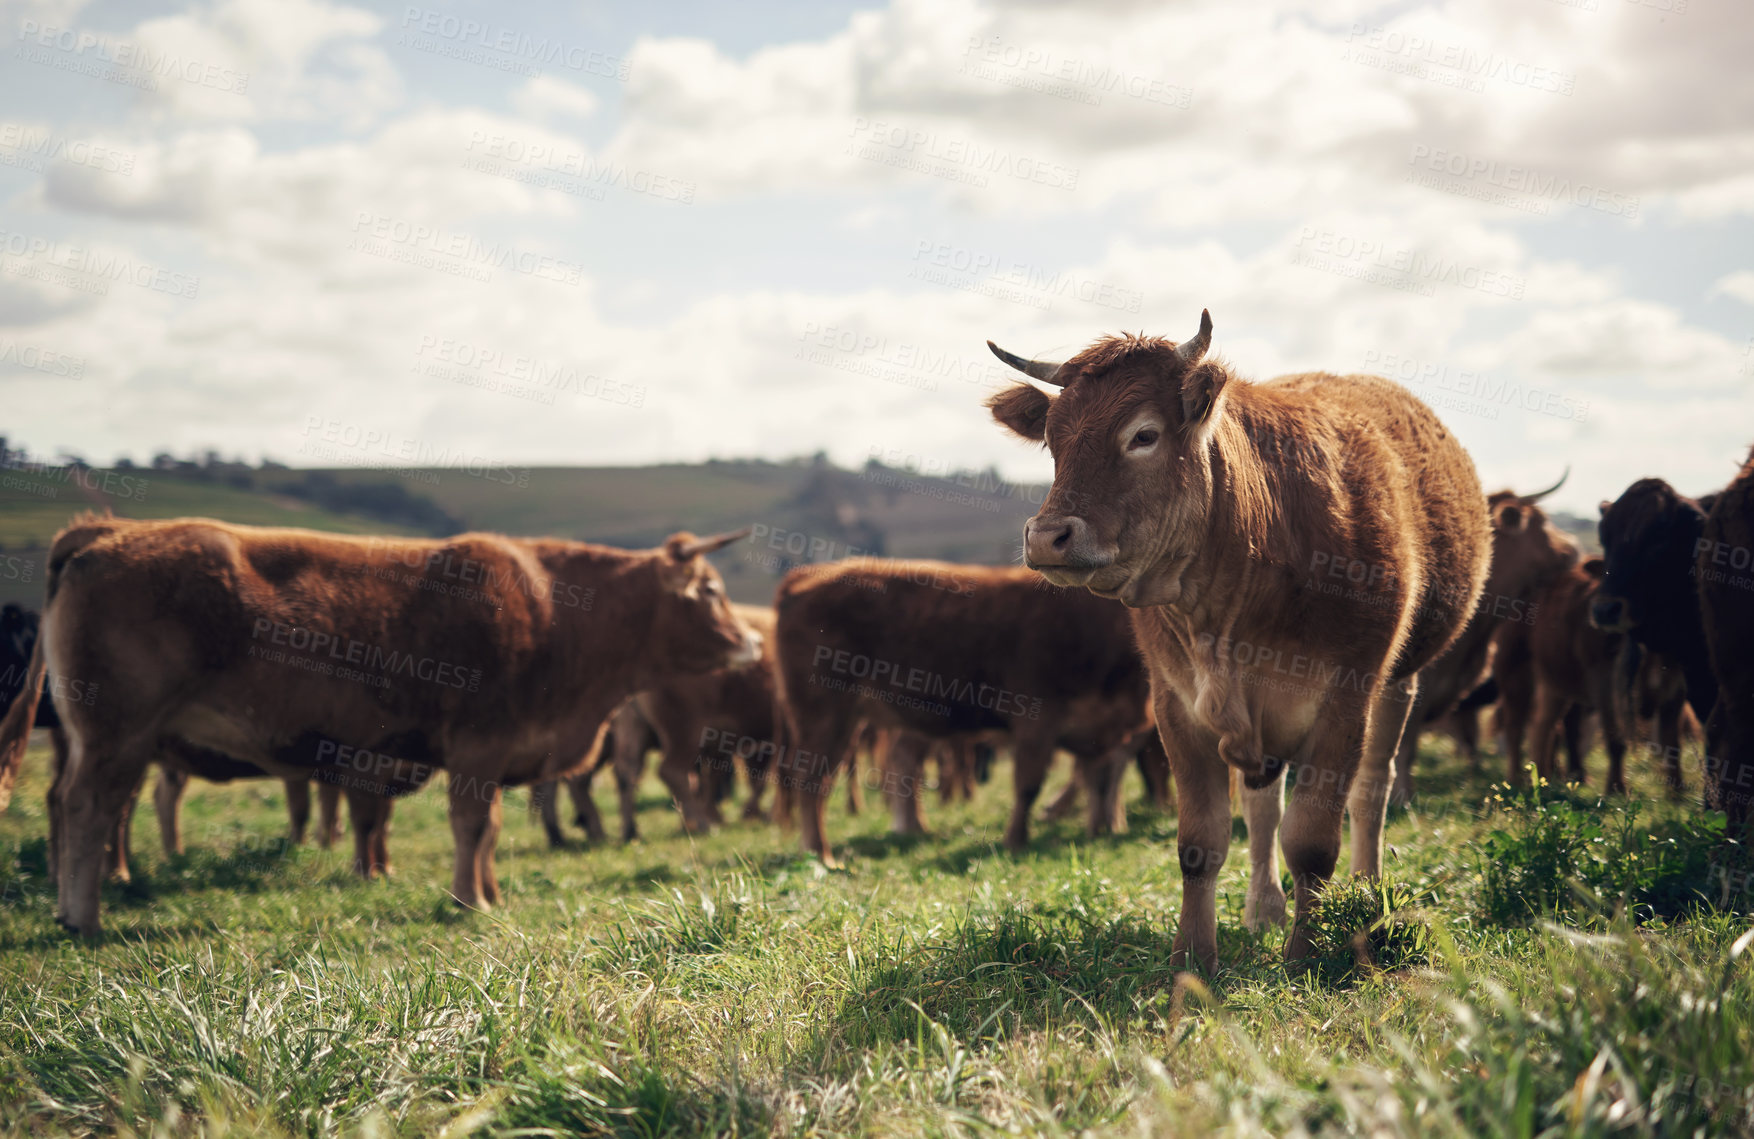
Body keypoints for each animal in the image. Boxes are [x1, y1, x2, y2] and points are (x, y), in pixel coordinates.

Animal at [0, 515, 757, 933]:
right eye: (712, 590)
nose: (752, 639)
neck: (553, 612)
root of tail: (108, 532)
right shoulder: (478, 746)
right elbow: (473, 827)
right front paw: (470, 901)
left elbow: (489, 830)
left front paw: (488, 891)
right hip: (115, 734)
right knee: (87, 807)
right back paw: (84, 915)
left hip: (104, 740)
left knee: (77, 805)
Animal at [775, 558, 1157, 863]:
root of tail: (807, 574)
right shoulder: (1037, 720)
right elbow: (1029, 785)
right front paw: (1016, 841)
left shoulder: (1100, 731)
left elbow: (1101, 784)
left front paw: (1101, 831)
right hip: (823, 712)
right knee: (812, 779)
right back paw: (821, 854)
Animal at [982, 312, 1487, 968]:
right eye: (1053, 440)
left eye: (1143, 435)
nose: (1046, 537)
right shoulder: (1177, 704)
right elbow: (1202, 842)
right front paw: (1192, 959)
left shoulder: (1344, 699)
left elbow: (1313, 841)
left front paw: (1306, 952)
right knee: (1263, 805)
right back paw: (1263, 907)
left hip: (1399, 683)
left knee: (1372, 791)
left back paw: (1366, 889)